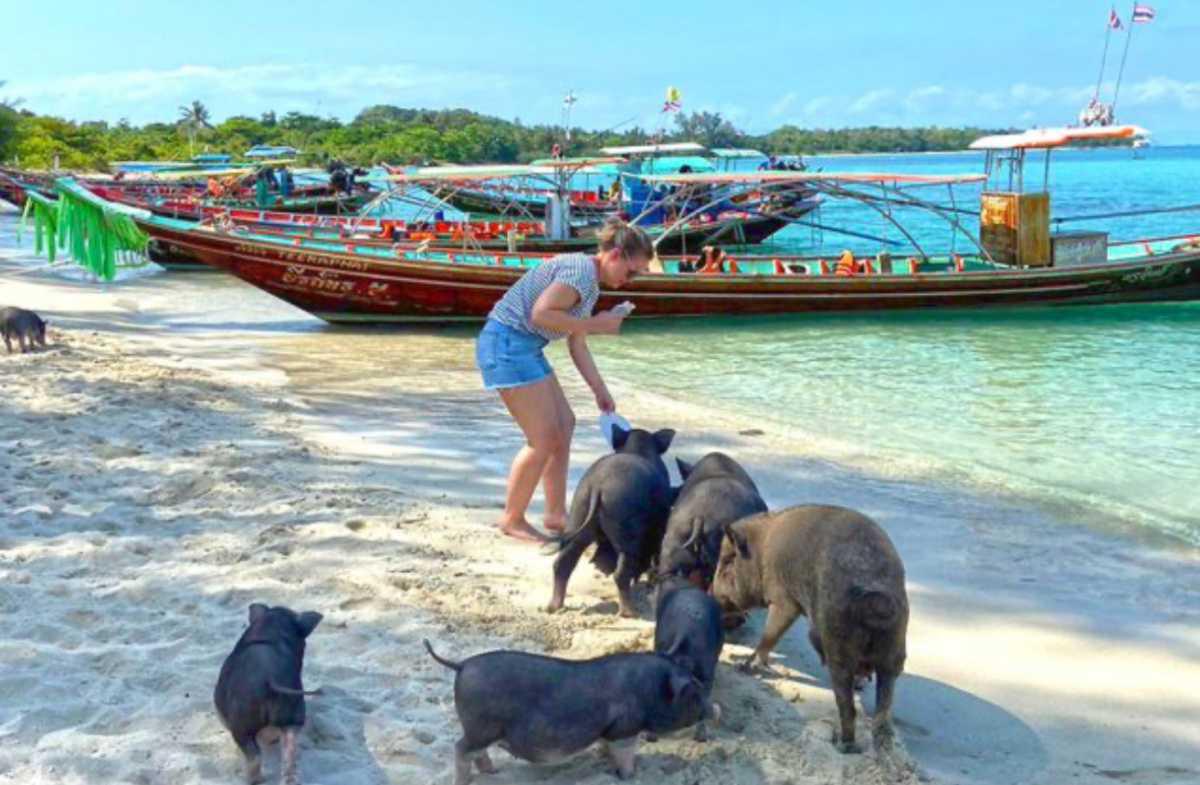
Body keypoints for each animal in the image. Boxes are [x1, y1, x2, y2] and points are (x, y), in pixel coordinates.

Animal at [214, 604, 323, 785]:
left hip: (242, 727)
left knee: (255, 756)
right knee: (290, 754)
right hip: (294, 715)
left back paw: (252, 779)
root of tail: (269, 678)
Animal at [424, 639, 708, 784]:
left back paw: (492, 773)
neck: (649, 688)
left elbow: (609, 749)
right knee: (461, 749)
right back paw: (465, 781)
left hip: (481, 730)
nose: (713, 708)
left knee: (475, 752)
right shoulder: (625, 729)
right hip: (481, 728)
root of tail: (462, 664)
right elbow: (626, 753)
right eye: (693, 691)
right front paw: (630, 776)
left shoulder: (608, 731)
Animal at [546, 426, 675, 617]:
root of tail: (598, 484)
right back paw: (630, 613)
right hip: (627, 536)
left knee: (562, 563)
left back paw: (554, 607)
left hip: (579, 516)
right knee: (620, 573)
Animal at [711, 505, 908, 754]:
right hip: (894, 653)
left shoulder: (784, 599)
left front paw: (746, 667)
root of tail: (878, 601)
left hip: (838, 646)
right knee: (884, 708)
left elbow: (770, 635)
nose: (710, 592)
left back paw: (844, 745)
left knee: (847, 705)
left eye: (727, 560)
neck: (762, 549)